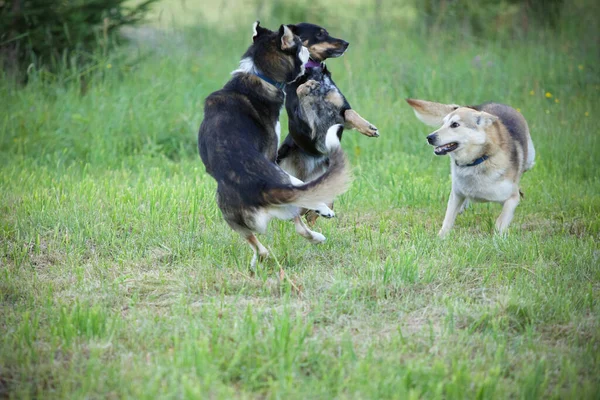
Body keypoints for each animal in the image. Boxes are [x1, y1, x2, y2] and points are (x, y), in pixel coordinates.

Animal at [199, 20, 354, 268]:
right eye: (300, 44)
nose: (308, 50)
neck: (260, 75)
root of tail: (261, 188)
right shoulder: (272, 152)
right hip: (285, 184)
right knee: (301, 200)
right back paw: (322, 215)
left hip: (233, 216)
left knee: (266, 244)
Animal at [276, 22, 378, 222]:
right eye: (320, 34)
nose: (346, 43)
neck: (313, 72)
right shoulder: (304, 126)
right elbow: (301, 93)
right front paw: (306, 87)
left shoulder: (341, 113)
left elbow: (351, 113)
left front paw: (367, 127)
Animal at [406, 99, 536, 238]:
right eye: (443, 123)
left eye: (455, 124)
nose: (429, 137)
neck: (477, 161)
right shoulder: (456, 195)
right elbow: (448, 218)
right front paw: (440, 237)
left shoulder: (512, 198)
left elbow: (501, 220)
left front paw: (497, 238)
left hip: (530, 159)